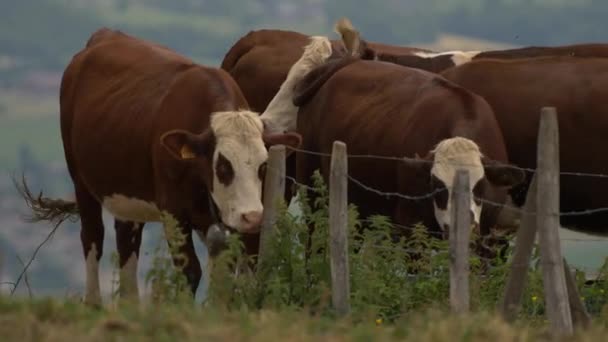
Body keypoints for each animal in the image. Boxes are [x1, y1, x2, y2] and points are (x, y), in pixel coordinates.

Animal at [22, 27, 300, 304]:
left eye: (263, 166)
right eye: (222, 165)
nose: (252, 217)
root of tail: (106, 34)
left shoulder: (222, 217)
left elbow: (224, 272)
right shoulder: (173, 209)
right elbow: (190, 270)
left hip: (127, 191)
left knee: (126, 243)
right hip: (81, 181)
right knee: (92, 237)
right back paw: (93, 303)